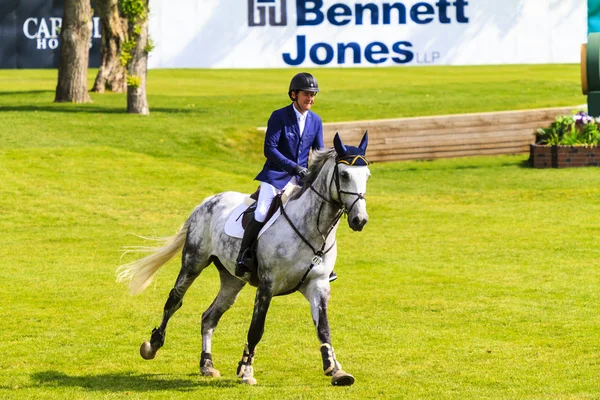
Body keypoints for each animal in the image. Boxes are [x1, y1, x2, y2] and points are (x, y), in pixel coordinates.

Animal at [116, 133, 370, 386]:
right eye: (344, 175)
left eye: (367, 175)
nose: (360, 220)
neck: (313, 229)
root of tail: (208, 201)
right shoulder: (268, 285)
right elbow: (256, 328)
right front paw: (246, 371)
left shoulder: (318, 285)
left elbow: (323, 328)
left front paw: (336, 371)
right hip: (194, 262)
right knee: (174, 300)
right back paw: (153, 345)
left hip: (232, 279)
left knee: (209, 317)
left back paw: (207, 365)